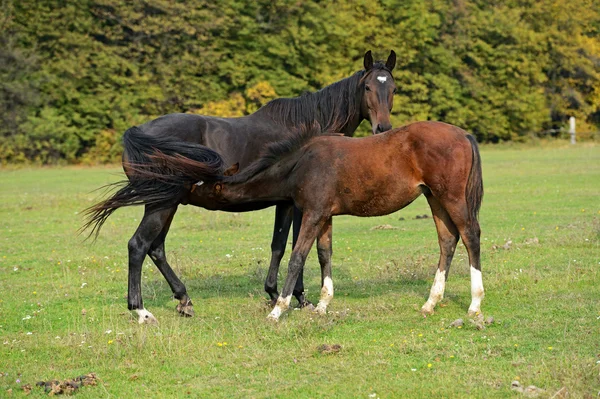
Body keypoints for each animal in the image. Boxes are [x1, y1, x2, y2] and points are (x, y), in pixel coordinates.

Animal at [119, 121, 486, 322]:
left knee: (470, 235)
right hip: (434, 198)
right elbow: (324, 255)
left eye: (199, 183)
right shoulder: (324, 215)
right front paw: (321, 306)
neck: (302, 163)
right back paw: (430, 303)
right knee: (447, 240)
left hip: (451, 197)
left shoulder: (312, 213)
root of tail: (465, 135)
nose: (172, 189)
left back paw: (474, 305)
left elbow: (296, 257)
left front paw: (278, 310)